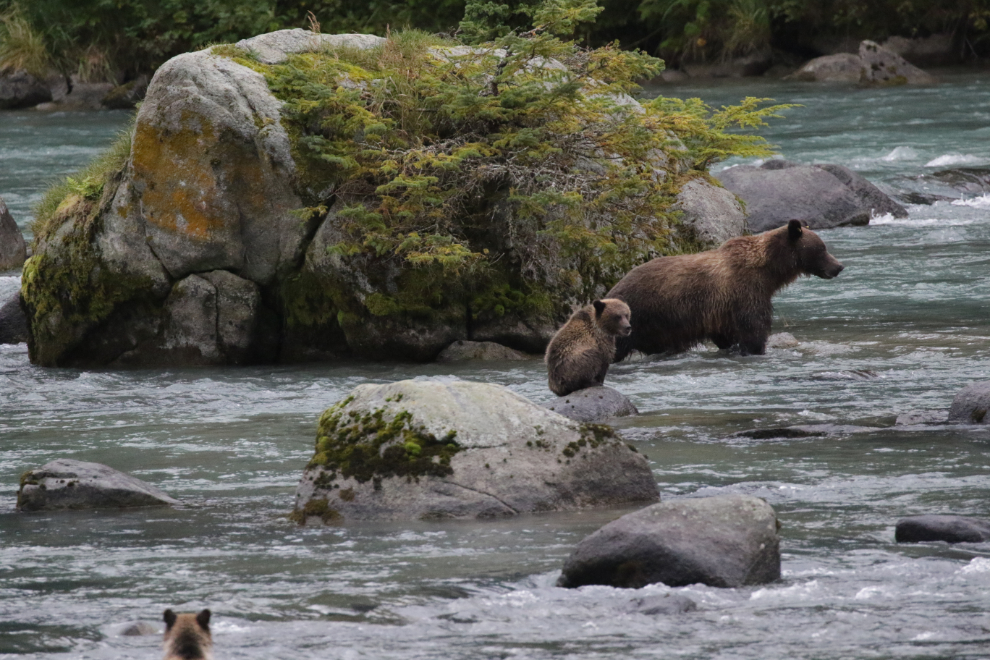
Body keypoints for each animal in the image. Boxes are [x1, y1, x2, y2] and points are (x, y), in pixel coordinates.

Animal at [608, 219, 848, 358]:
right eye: (822, 248)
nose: (838, 266)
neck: (769, 272)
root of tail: (613, 289)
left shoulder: (722, 310)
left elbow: (728, 335)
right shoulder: (745, 292)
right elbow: (754, 328)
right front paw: (756, 349)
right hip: (640, 316)